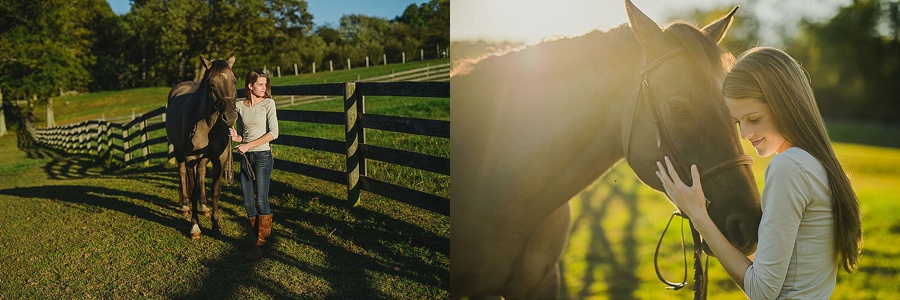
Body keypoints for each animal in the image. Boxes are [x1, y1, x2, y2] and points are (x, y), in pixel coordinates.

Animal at [164, 55, 237, 239]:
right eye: (211, 83)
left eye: (234, 81)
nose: (230, 117)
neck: (208, 123)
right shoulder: (191, 159)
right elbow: (194, 191)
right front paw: (195, 227)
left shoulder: (220, 159)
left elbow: (215, 190)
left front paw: (216, 225)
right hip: (179, 152)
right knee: (182, 173)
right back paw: (185, 206)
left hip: (203, 158)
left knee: (202, 174)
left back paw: (204, 207)